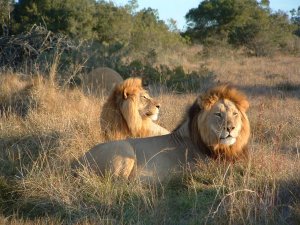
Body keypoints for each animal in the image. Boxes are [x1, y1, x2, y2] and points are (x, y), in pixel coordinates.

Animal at [74, 84, 251, 181]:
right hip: (124, 149)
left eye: (235, 114)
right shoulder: (204, 168)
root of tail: (76, 161)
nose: (231, 128)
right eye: (218, 114)